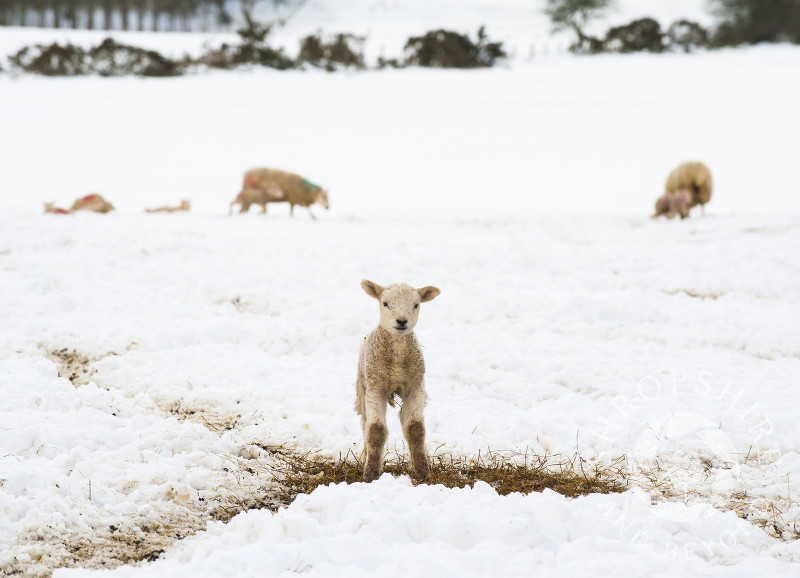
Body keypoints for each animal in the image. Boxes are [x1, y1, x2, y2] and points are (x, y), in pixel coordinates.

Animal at [358, 276, 444, 480]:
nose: (402, 321)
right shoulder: (376, 387)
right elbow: (375, 430)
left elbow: (415, 428)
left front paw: (422, 470)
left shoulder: (415, 387)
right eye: (385, 303)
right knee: (365, 422)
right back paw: (365, 457)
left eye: (416, 305)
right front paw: (371, 473)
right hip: (362, 386)